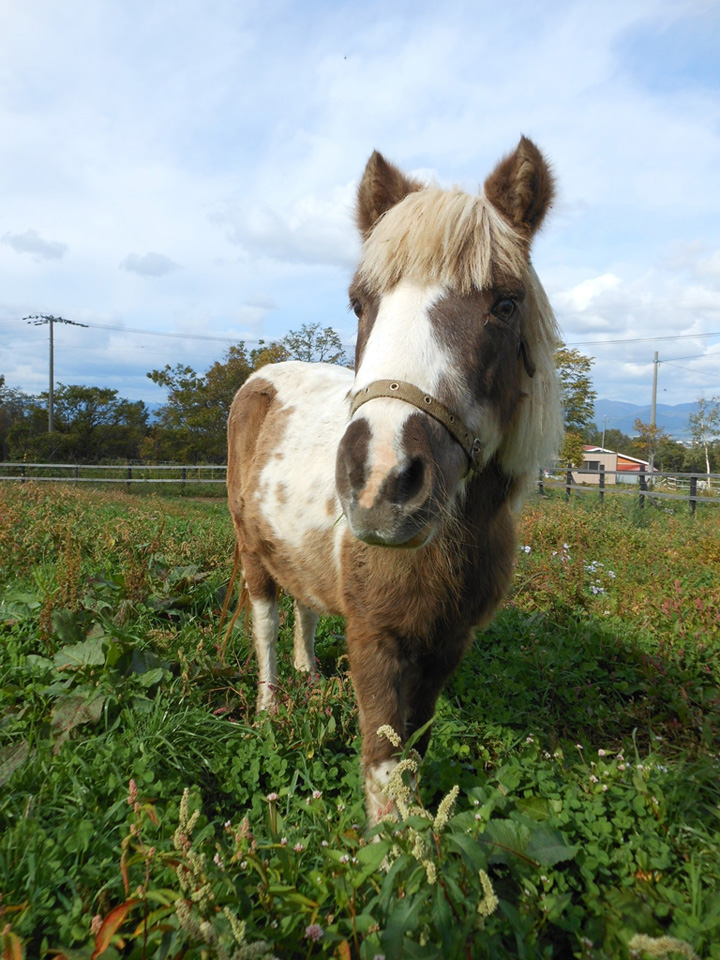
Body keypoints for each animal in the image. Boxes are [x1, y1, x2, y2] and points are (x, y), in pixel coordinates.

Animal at [226, 137, 564, 824]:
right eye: (361, 304)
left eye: (505, 304)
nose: (380, 483)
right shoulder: (376, 639)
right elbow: (384, 769)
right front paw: (392, 847)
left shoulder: (446, 644)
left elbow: (415, 750)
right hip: (251, 551)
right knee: (267, 620)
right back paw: (270, 707)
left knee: (304, 607)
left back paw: (309, 678)